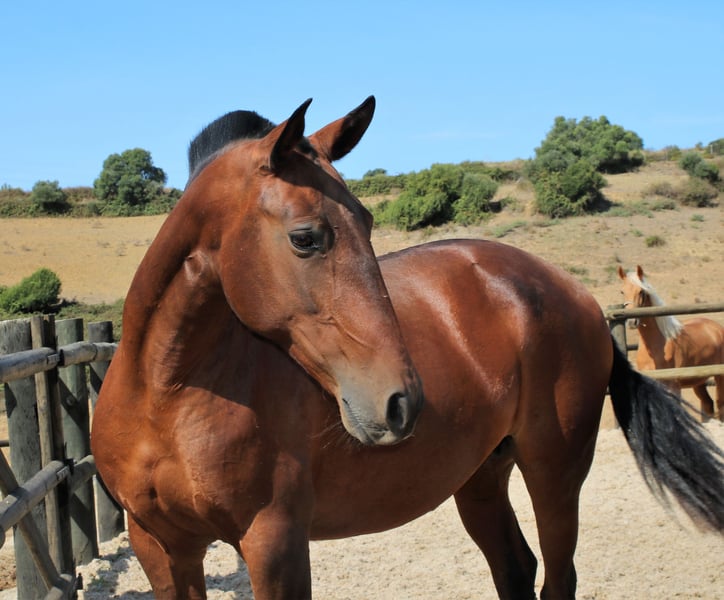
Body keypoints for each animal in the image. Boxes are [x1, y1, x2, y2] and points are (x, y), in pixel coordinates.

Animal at [618, 265, 724, 421]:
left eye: (641, 291)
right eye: (622, 291)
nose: (632, 322)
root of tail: (716, 328)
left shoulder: (674, 386)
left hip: (720, 376)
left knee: (719, 405)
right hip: (698, 381)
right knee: (708, 404)